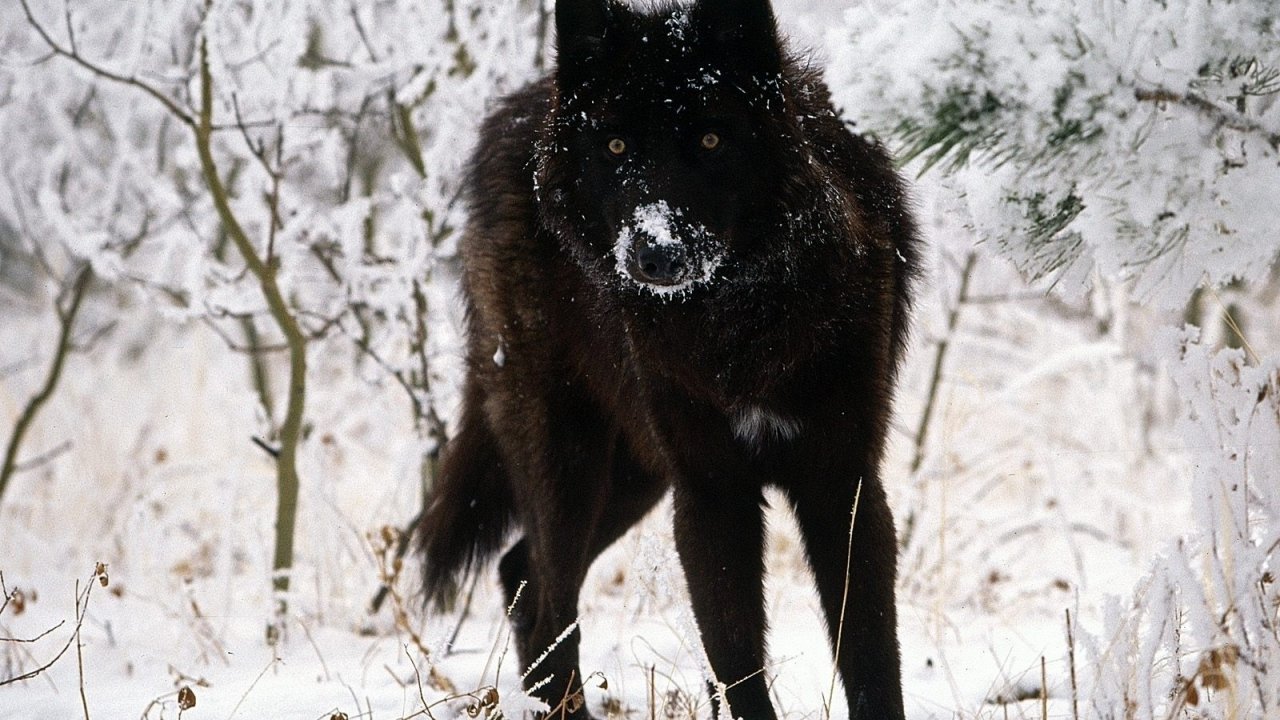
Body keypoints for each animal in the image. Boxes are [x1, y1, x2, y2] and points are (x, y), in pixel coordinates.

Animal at [417, 0, 921, 718]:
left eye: (710, 141)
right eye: (616, 148)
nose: (655, 253)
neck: (738, 325)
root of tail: (512, 113)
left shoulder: (842, 484)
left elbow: (872, 660)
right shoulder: (710, 493)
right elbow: (735, 665)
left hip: (637, 475)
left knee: (520, 576)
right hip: (569, 463)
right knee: (547, 602)